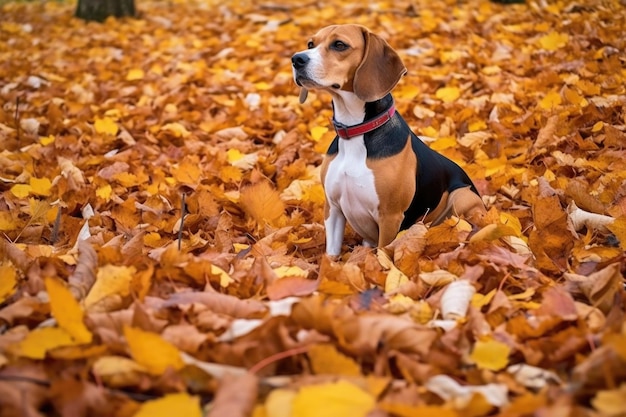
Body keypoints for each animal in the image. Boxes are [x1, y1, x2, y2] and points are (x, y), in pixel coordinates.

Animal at [290, 25, 486, 256]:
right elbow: (331, 255)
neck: (355, 130)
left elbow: (382, 255)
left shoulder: (390, 217)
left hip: (462, 197)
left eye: (339, 45)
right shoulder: (333, 209)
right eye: (311, 44)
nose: (296, 59)